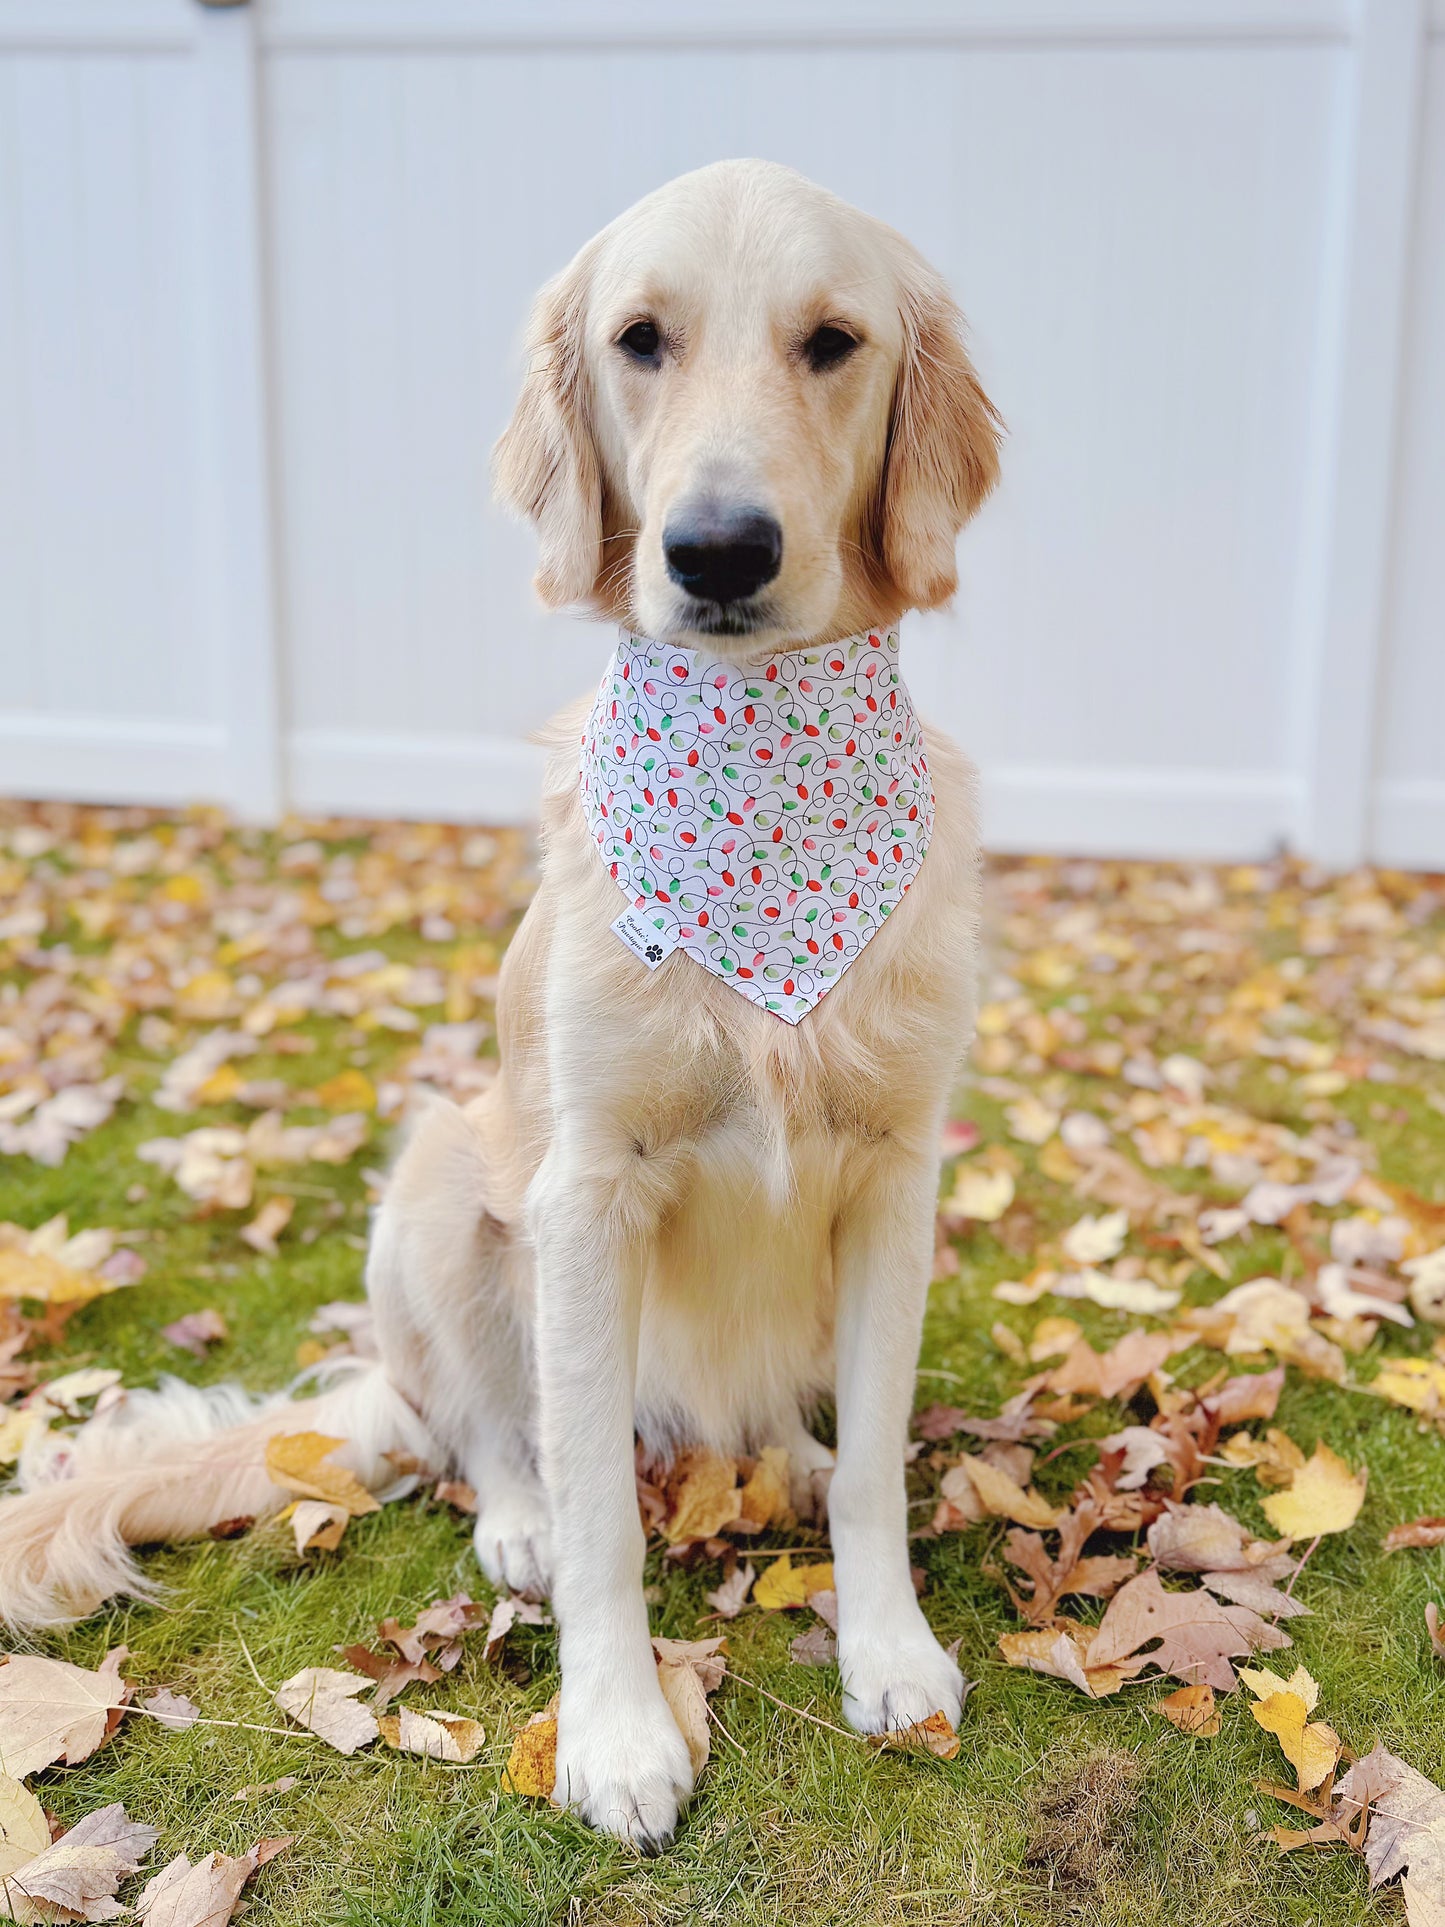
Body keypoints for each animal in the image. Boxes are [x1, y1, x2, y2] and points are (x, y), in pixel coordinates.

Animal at [0, 165, 994, 1849]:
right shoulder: (584, 1191)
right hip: (439, 1182)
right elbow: (595, 1498)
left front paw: (889, 1650)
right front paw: (616, 1729)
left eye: (833, 341)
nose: (718, 550)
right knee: (483, 1425)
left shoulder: (895, 1173)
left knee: (768, 1426)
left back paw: (781, 1449)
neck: (760, 782)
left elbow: (875, 1466)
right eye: (641, 338)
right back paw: (513, 1516)